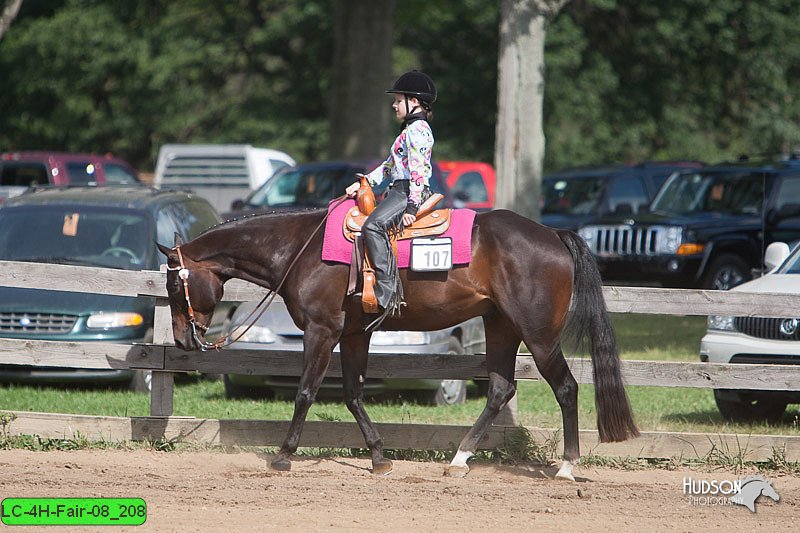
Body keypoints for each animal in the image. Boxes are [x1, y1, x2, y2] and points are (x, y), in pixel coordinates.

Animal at [156, 206, 636, 476]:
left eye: (175, 285)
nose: (181, 340)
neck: (299, 249)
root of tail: (553, 234)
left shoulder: (321, 331)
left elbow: (306, 392)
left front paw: (284, 455)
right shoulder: (352, 335)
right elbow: (352, 394)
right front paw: (378, 456)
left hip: (538, 337)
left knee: (567, 388)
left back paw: (567, 467)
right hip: (501, 327)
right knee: (501, 389)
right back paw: (459, 459)